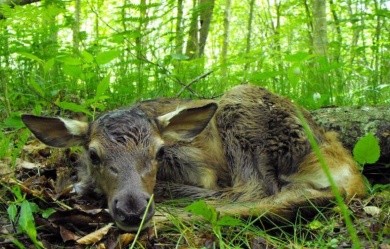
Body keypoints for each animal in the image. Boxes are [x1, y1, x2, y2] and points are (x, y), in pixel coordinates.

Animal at [21, 85, 366, 231]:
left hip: (239, 102)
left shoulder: (199, 168)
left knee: (253, 190)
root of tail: (349, 170)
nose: (133, 211)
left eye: (160, 152)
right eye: (93, 154)